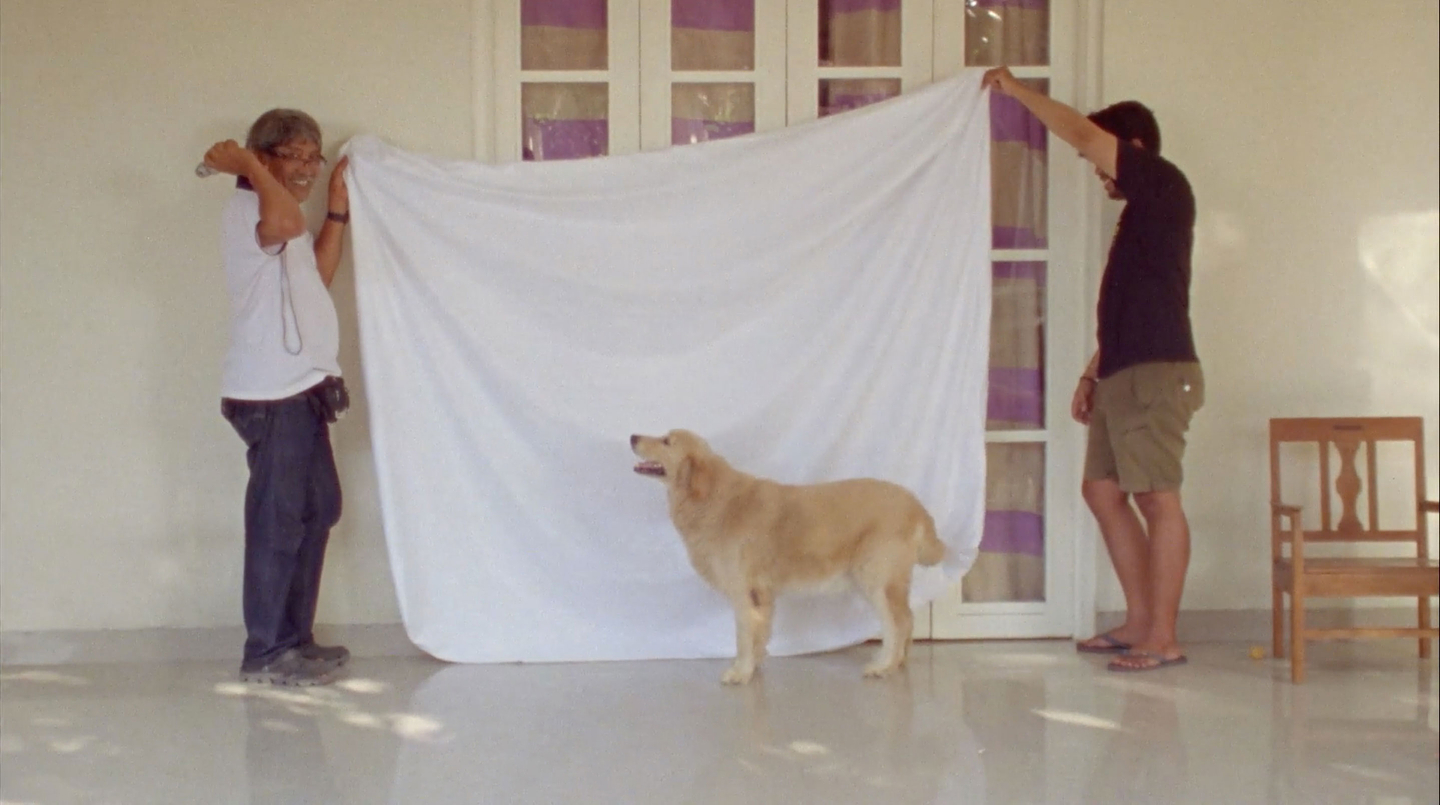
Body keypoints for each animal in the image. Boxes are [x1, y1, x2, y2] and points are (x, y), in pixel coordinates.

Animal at [627, 429, 944, 685]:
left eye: (667, 441)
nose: (632, 437)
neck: (711, 498)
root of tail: (916, 505)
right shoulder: (762, 594)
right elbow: (760, 634)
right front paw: (754, 667)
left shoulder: (743, 591)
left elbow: (743, 635)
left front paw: (740, 672)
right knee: (906, 619)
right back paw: (898, 662)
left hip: (876, 579)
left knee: (899, 622)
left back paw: (883, 666)